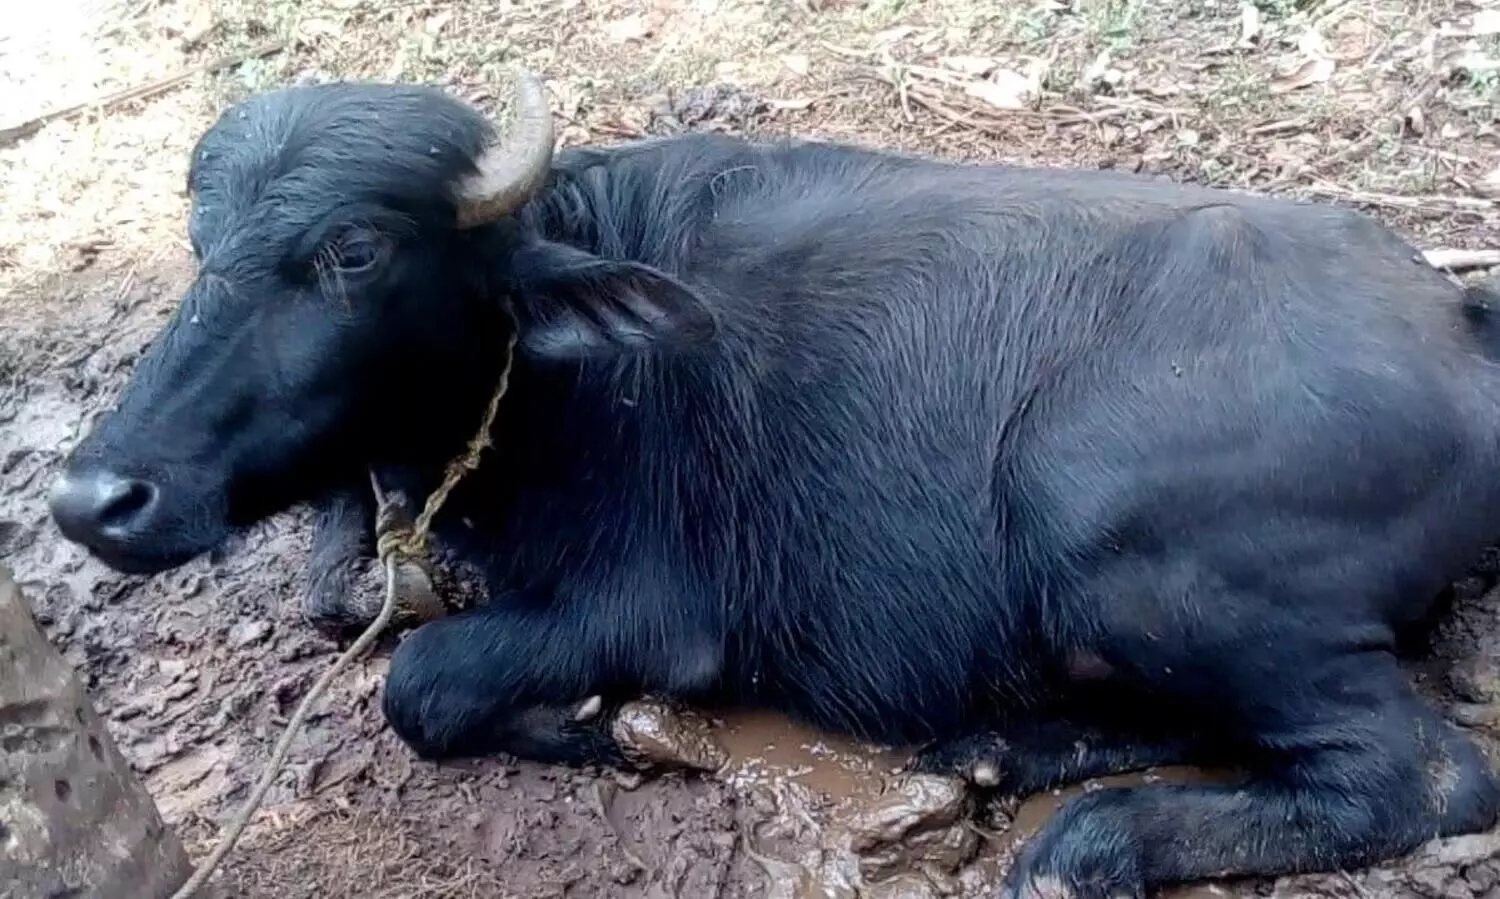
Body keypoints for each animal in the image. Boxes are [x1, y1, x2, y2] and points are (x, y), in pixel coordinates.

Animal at [48, 70, 1500, 897]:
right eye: (199, 240)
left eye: (352, 249)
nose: (93, 500)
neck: (557, 381)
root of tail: (1459, 318)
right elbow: (347, 602)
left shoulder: (650, 610)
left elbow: (425, 680)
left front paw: (600, 725)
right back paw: (1009, 745)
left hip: (1107, 534)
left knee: (1424, 775)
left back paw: (1092, 845)